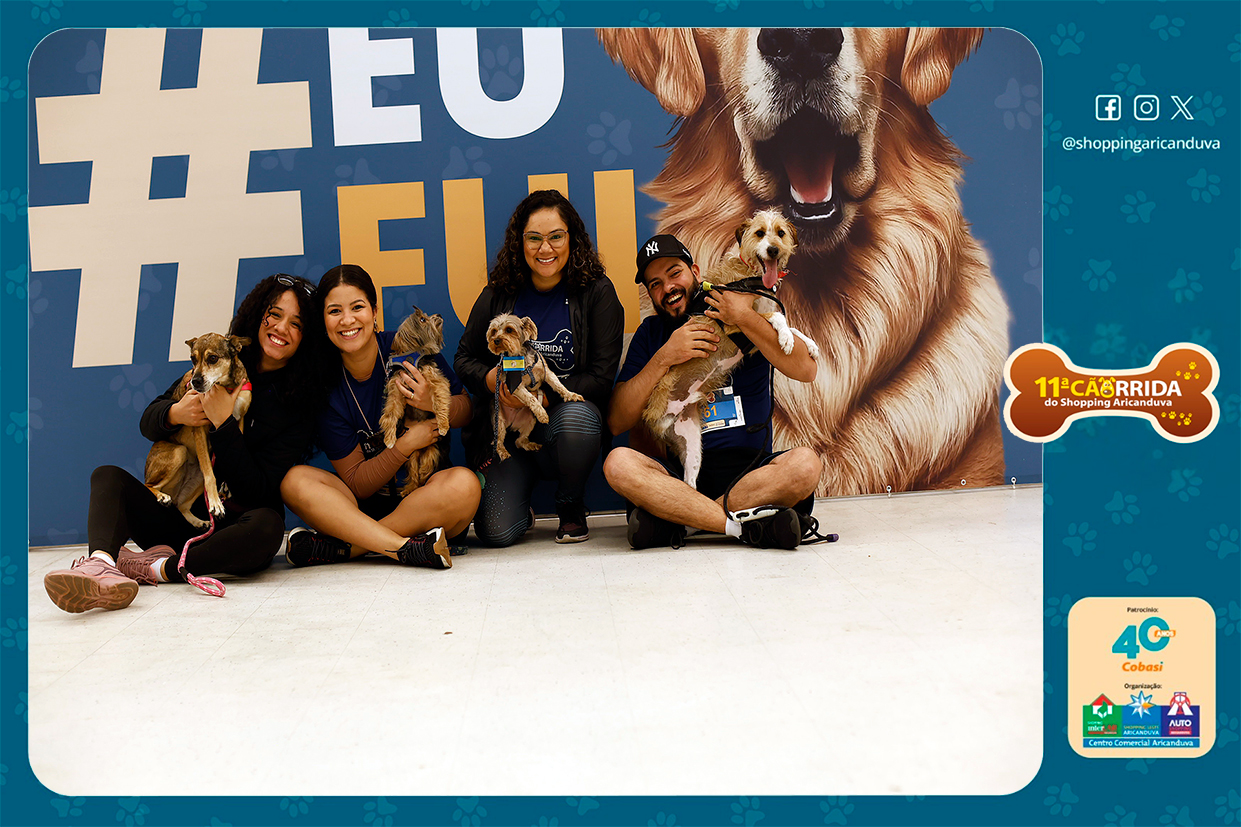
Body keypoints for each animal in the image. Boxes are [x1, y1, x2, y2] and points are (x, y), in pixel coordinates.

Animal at [144, 333, 252, 527]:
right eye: (192, 359)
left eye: (213, 358)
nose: (195, 382)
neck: (225, 386)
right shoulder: (199, 428)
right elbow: (210, 474)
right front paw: (216, 503)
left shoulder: (239, 419)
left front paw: (226, 487)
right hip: (178, 452)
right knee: (148, 485)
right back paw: (162, 496)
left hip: (195, 479)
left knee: (182, 505)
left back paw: (198, 521)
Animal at [378, 307, 454, 497]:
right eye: (422, 320)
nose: (439, 315)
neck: (412, 358)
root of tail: (421, 451)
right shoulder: (396, 391)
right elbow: (390, 414)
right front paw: (389, 439)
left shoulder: (435, 381)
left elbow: (440, 400)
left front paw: (443, 425)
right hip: (411, 456)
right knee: (414, 472)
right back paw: (409, 489)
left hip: (432, 453)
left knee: (425, 471)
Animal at [485, 313, 584, 461]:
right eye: (494, 331)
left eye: (509, 330)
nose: (496, 340)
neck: (521, 357)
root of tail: (512, 424)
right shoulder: (515, 386)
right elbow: (531, 398)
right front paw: (542, 413)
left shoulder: (546, 372)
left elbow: (558, 385)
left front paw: (570, 395)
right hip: (499, 421)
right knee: (497, 442)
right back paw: (503, 452)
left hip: (530, 420)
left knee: (519, 441)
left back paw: (531, 445)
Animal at [600, 27, 1011, 495]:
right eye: (759, 234)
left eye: (780, 234)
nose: (800, 43)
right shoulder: (740, 314)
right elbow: (777, 319)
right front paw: (787, 336)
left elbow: (789, 325)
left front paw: (803, 344)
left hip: (693, 445)